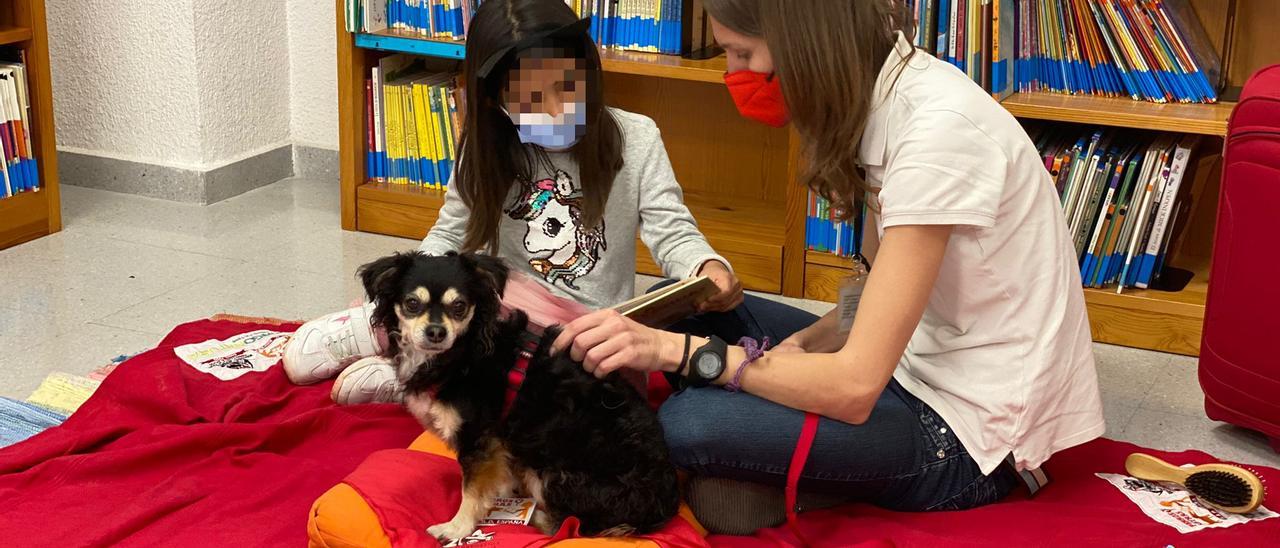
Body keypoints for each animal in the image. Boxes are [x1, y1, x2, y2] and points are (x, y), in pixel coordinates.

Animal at [358, 250, 680, 540]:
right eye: (412, 303)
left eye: (459, 306)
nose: (436, 332)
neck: (460, 355)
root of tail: (664, 508)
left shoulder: (478, 438)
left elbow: (471, 490)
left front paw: (456, 528)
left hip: (551, 472)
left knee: (570, 526)